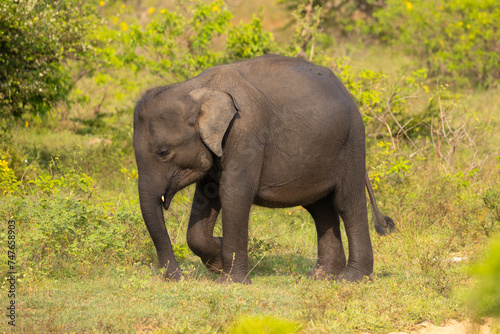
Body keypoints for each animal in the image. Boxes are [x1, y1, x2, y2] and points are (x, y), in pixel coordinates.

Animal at [133, 53, 394, 284]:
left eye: (163, 152)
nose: (178, 277)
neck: (196, 89)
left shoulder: (245, 133)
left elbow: (233, 195)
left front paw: (230, 281)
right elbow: (206, 197)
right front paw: (218, 259)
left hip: (352, 143)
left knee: (347, 203)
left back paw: (352, 279)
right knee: (320, 208)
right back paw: (321, 276)